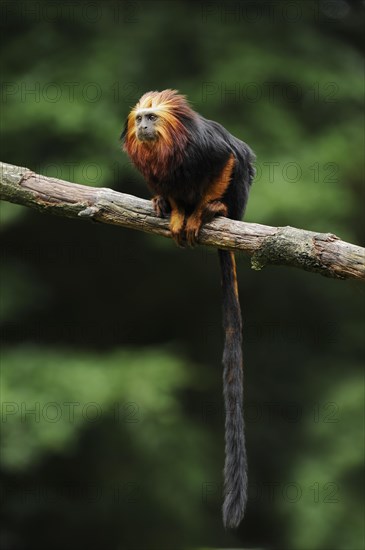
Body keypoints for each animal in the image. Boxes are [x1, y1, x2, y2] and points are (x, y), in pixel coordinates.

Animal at [121, 90, 255, 532]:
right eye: (140, 118)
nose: (144, 125)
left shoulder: (205, 150)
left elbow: (227, 158)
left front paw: (200, 211)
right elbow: (170, 186)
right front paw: (178, 210)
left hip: (239, 197)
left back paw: (218, 211)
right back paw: (163, 202)